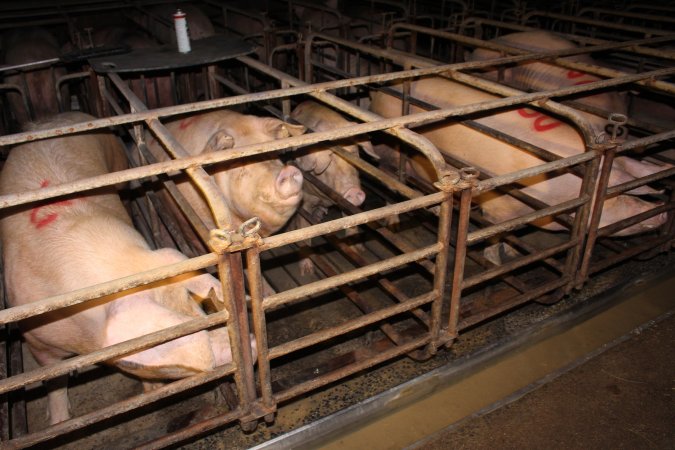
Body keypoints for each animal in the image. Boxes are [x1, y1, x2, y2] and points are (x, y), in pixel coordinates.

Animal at [0, 112, 243, 426]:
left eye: (194, 307)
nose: (250, 342)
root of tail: (54, 119)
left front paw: (151, 391)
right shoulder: (36, 338)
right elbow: (54, 380)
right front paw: (59, 422)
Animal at [288, 101, 378, 274]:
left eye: (354, 153)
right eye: (330, 160)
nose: (353, 191)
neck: (325, 197)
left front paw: (357, 251)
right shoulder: (305, 200)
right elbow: (303, 229)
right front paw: (307, 271)